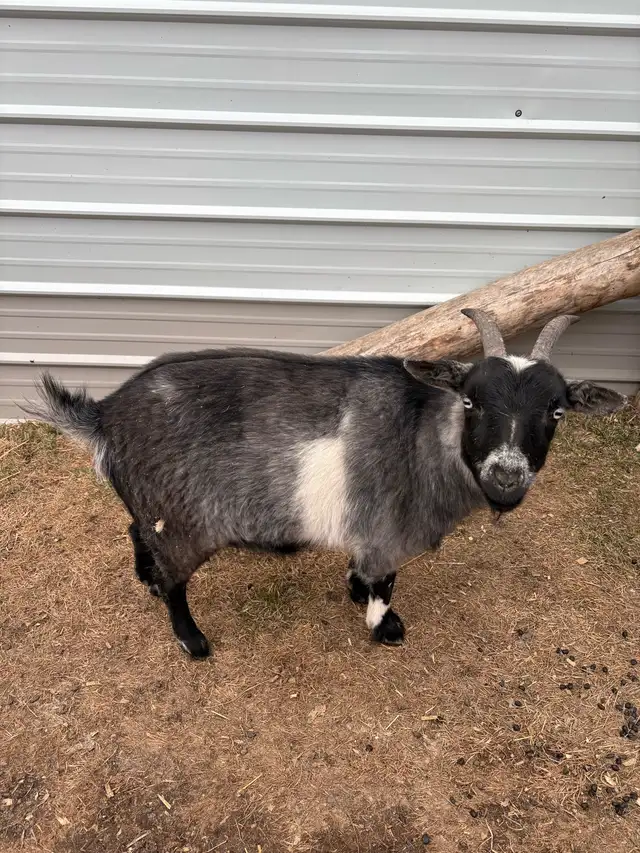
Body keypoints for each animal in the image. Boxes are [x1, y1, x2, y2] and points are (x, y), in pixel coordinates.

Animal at [24, 309, 626, 658]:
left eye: (557, 411)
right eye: (471, 400)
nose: (506, 476)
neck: (423, 435)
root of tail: (104, 418)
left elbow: (364, 573)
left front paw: (356, 590)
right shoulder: (388, 531)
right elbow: (386, 584)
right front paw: (384, 627)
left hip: (150, 509)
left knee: (134, 531)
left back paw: (144, 580)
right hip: (182, 524)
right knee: (175, 580)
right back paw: (192, 640)